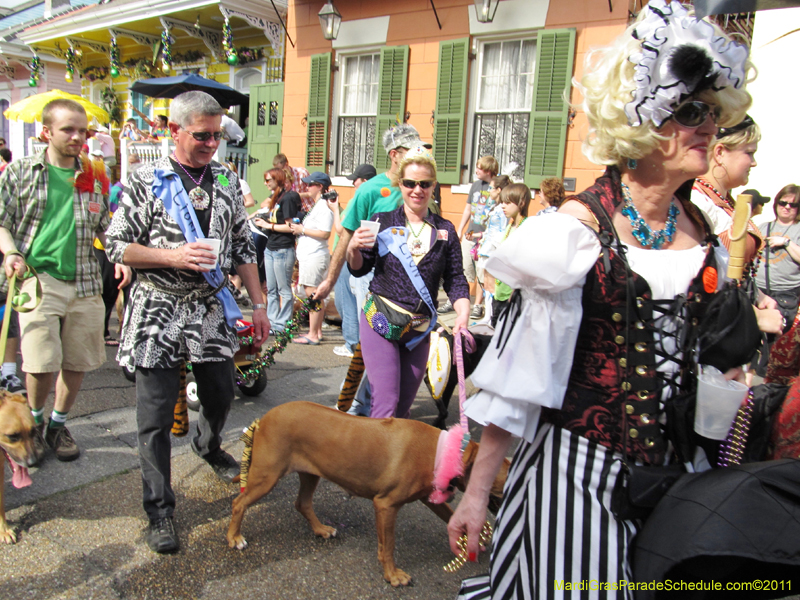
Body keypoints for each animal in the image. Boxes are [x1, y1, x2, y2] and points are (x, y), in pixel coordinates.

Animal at [228, 404, 510, 584]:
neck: (446, 451)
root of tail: (263, 419)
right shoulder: (386, 504)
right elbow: (390, 544)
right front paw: (393, 576)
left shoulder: (426, 498)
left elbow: (449, 518)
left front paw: (472, 538)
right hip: (267, 476)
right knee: (239, 502)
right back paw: (234, 538)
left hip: (310, 473)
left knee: (302, 503)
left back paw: (321, 529)